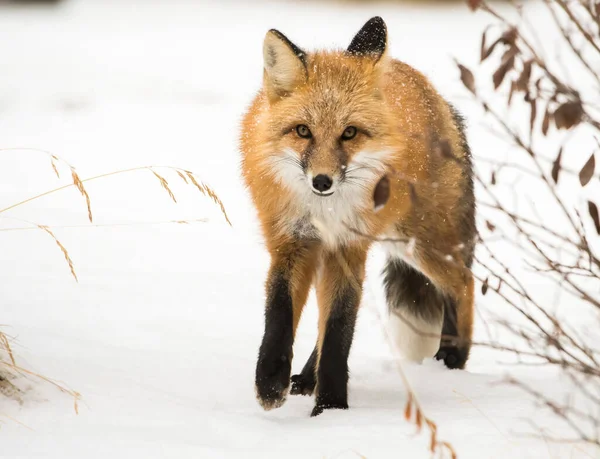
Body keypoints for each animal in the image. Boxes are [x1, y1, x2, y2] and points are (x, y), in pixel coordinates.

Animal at [239, 17, 478, 416]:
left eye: (349, 133)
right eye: (302, 131)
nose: (322, 181)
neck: (324, 211)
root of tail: (435, 95)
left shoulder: (348, 246)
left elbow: (338, 329)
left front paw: (331, 409)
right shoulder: (292, 242)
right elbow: (280, 316)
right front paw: (270, 383)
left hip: (417, 243)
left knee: (464, 282)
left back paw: (452, 359)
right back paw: (306, 378)